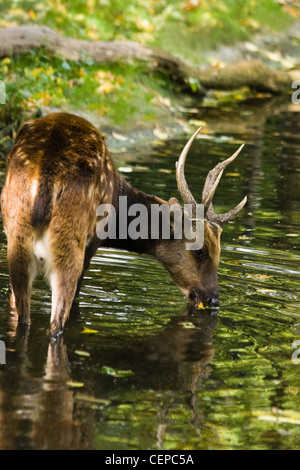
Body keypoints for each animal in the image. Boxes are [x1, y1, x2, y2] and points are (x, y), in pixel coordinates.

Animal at [0, 112, 246, 336]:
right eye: (199, 250)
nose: (213, 299)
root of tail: (47, 177)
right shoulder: (92, 243)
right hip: (69, 241)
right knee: (56, 323)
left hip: (17, 238)